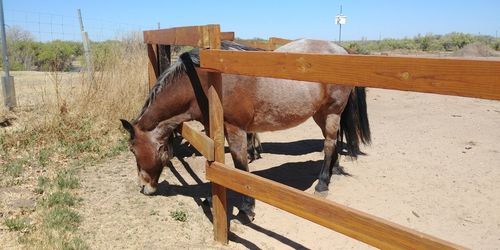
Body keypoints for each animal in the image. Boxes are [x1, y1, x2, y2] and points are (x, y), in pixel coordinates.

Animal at [121, 38, 372, 223]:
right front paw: (212, 198)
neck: (206, 80)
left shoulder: (236, 130)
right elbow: (216, 162)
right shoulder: (214, 129)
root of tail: (341, 49)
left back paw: (322, 184)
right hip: (321, 114)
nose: (144, 187)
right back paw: (332, 171)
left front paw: (246, 208)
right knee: (332, 142)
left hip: (331, 112)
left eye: (133, 150)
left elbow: (240, 166)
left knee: (329, 144)